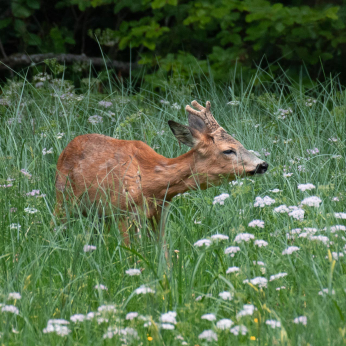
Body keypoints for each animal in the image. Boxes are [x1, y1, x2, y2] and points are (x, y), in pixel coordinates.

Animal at [54, 101, 268, 243]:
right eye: (228, 150)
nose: (263, 165)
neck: (152, 183)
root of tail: (66, 148)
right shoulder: (123, 211)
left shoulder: (160, 212)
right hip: (62, 199)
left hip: (98, 215)